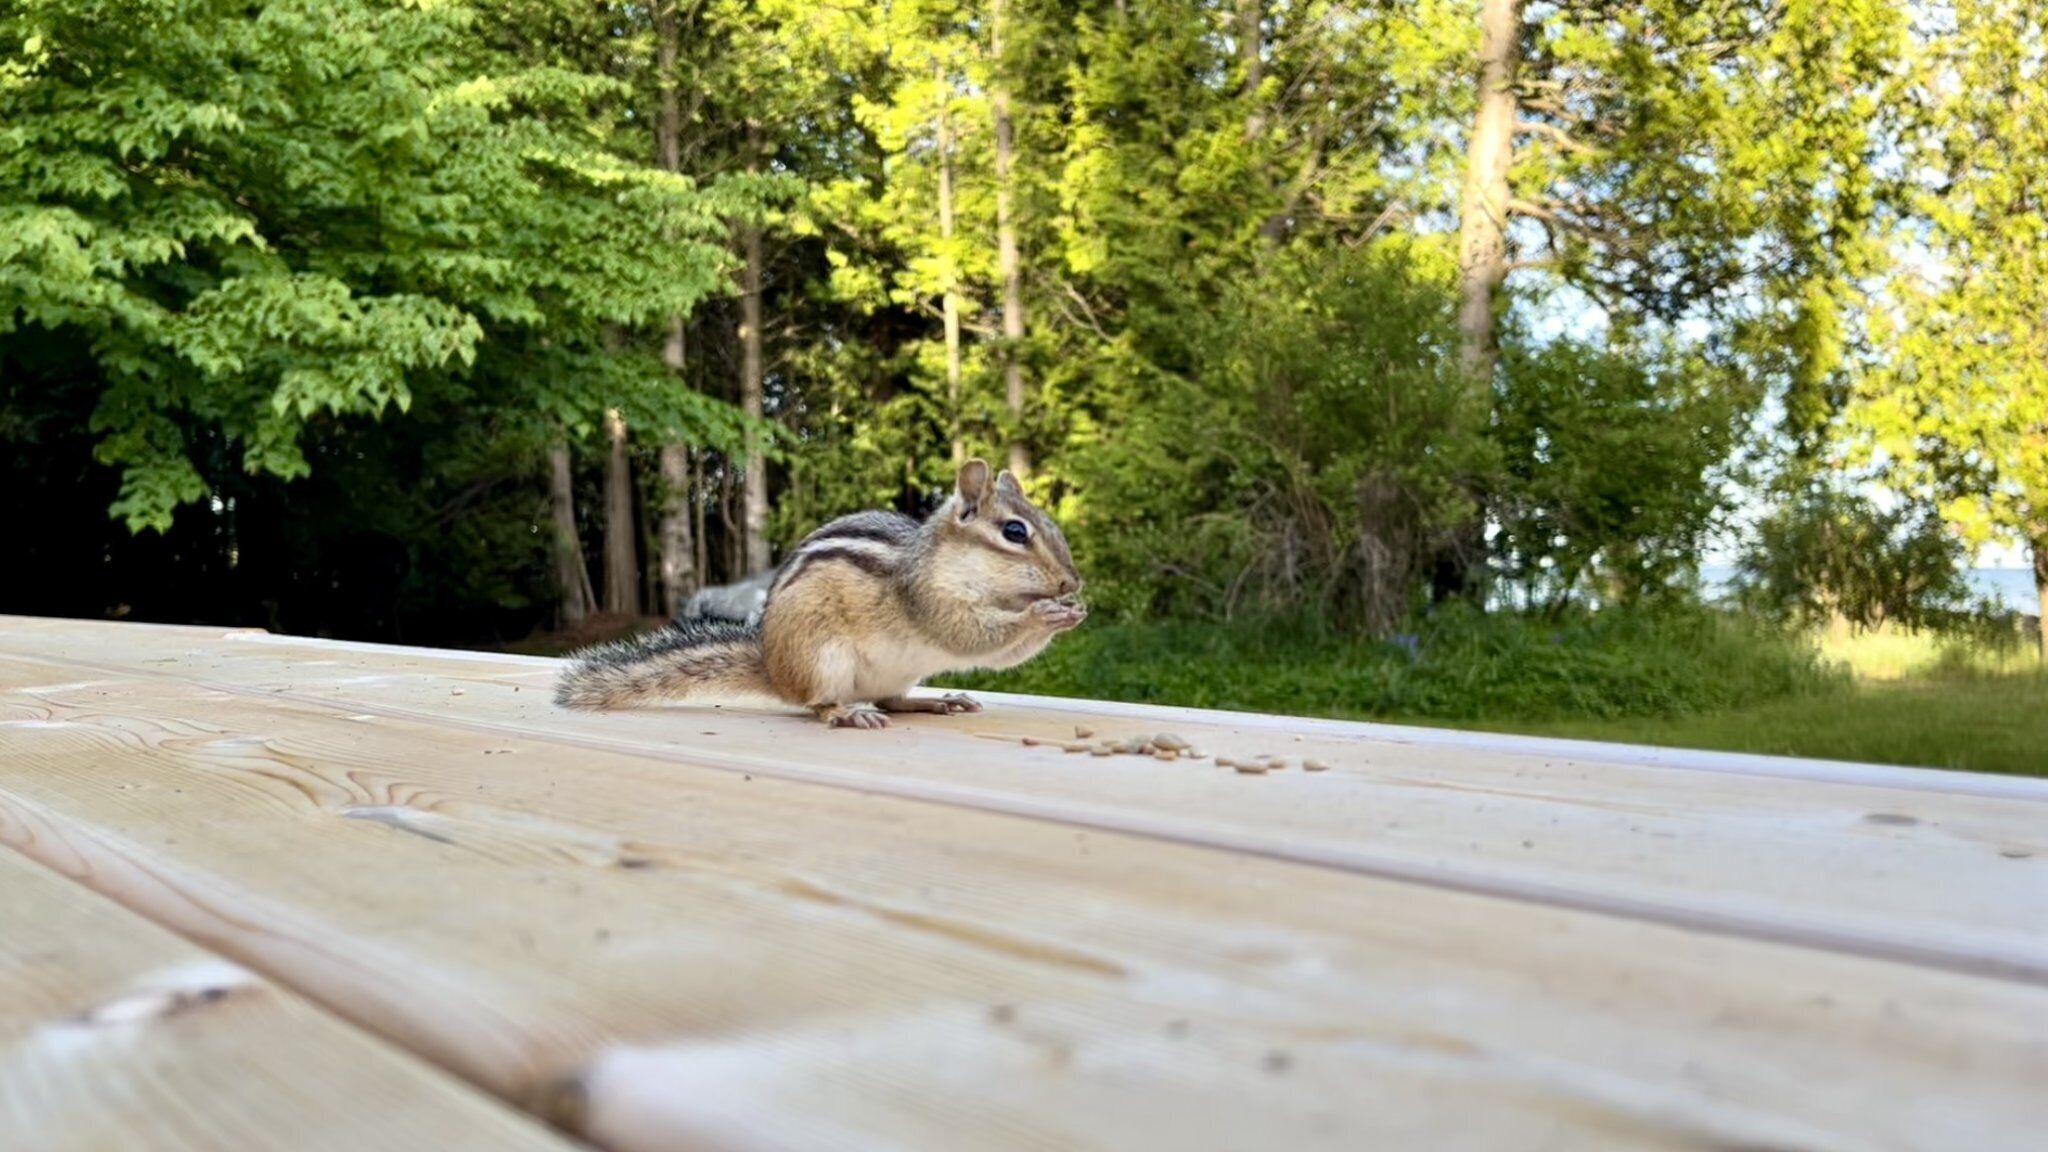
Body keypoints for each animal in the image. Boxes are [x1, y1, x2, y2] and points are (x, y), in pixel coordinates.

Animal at [553, 458, 1085, 728]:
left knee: (892, 700)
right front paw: (1044, 615)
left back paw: (935, 702)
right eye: (1014, 532)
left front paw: (1071, 611)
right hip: (821, 659)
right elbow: (972, 638)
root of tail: (774, 669)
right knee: (817, 703)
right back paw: (848, 713)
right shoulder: (928, 600)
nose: (1072, 582)